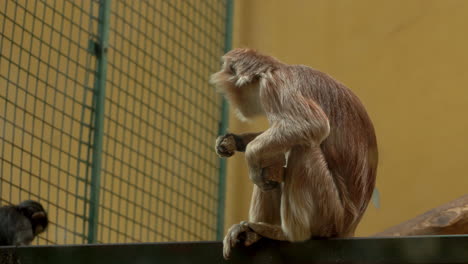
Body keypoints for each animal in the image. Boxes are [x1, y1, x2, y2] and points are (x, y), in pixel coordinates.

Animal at [210, 48, 378, 258]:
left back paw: (287, 234)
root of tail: (350, 226)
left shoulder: (274, 85)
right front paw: (233, 141)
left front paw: (250, 157)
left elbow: (312, 124)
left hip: (330, 213)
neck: (273, 69)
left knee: (301, 148)